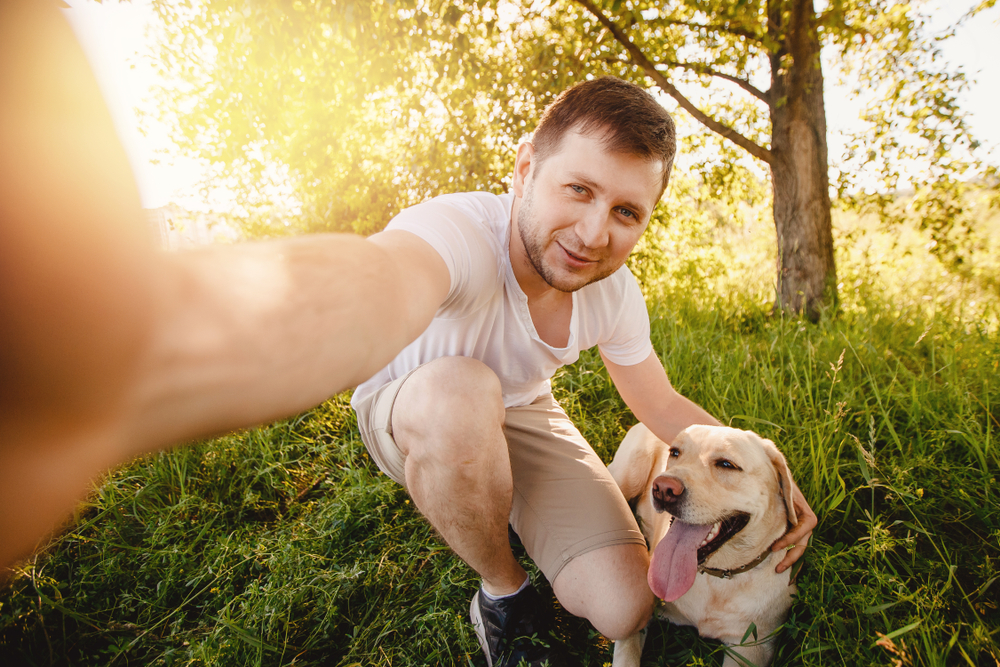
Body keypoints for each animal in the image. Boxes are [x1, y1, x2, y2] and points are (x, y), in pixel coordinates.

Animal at [604, 426, 800, 664]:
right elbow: (627, 655)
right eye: (675, 452)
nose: (663, 488)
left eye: (726, 464)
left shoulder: (751, 649)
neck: (717, 577)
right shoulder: (638, 616)